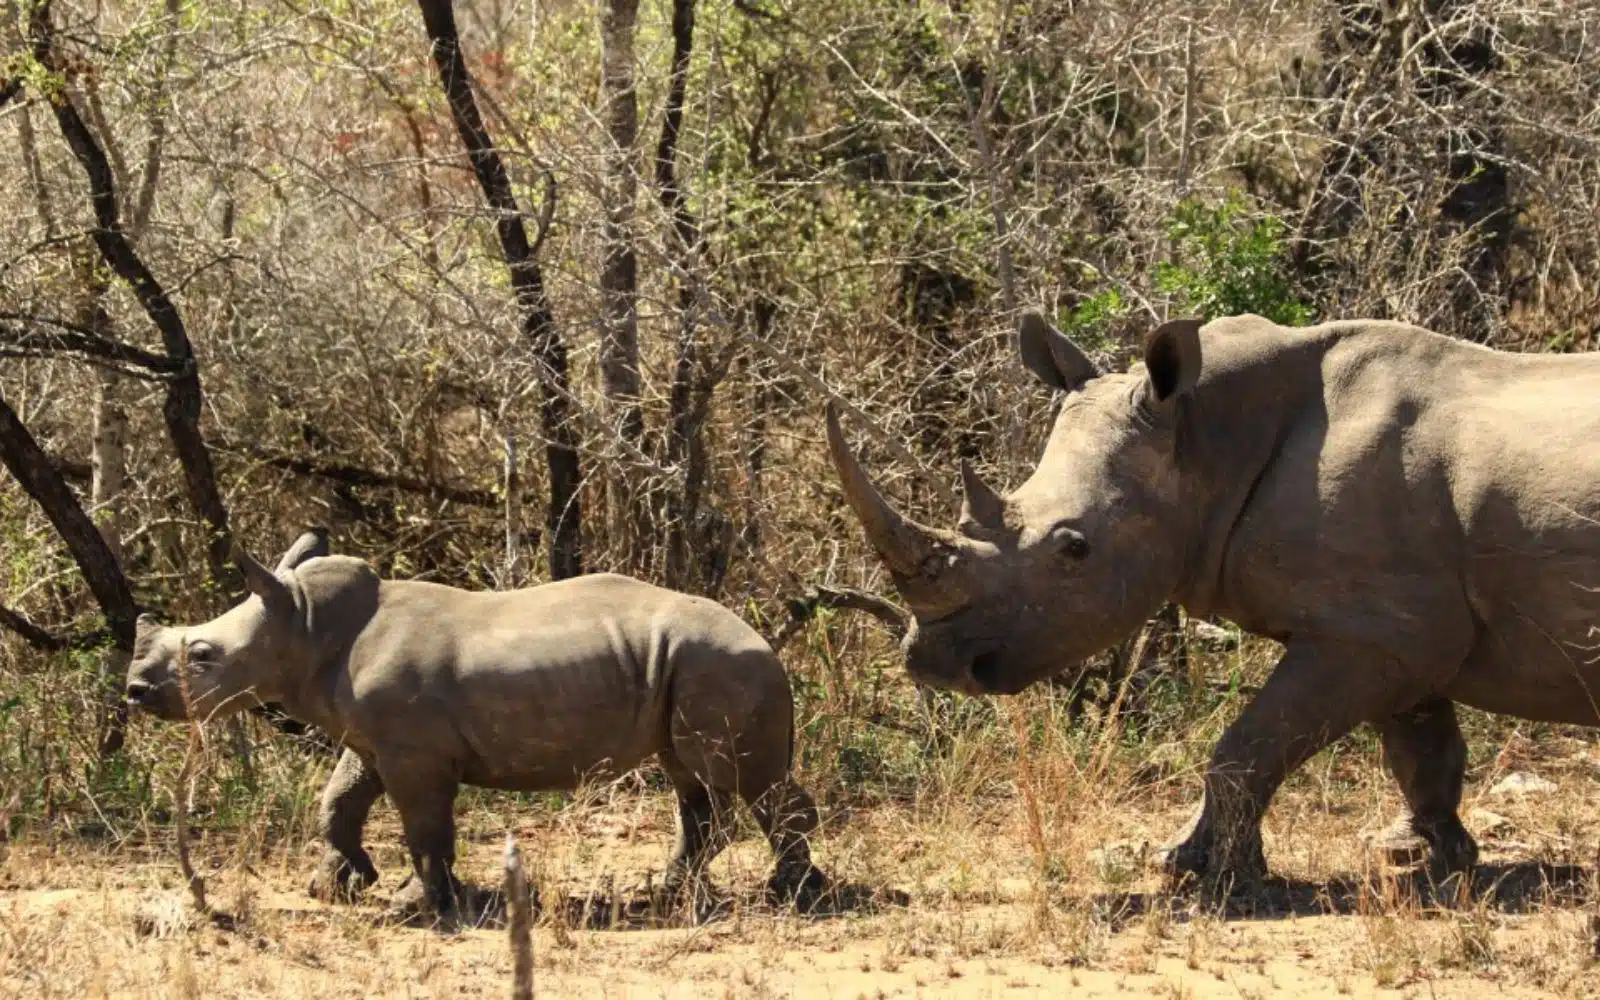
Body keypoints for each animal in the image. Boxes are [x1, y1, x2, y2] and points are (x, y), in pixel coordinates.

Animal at [125, 530, 828, 917]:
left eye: (203, 656)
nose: (134, 691)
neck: (303, 626)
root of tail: (768, 640)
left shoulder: (413, 752)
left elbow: (423, 825)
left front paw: (415, 904)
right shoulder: (376, 739)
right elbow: (339, 799)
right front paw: (337, 883)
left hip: (723, 665)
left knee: (738, 778)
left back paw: (794, 896)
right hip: (688, 666)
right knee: (692, 781)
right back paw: (666, 893)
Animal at [828, 311, 1600, 889]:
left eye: (1074, 550)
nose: (934, 663)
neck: (1206, 440)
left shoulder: (1374, 632)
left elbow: (1250, 743)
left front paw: (1188, 868)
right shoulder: (1394, 626)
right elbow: (1419, 746)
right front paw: (1416, 854)